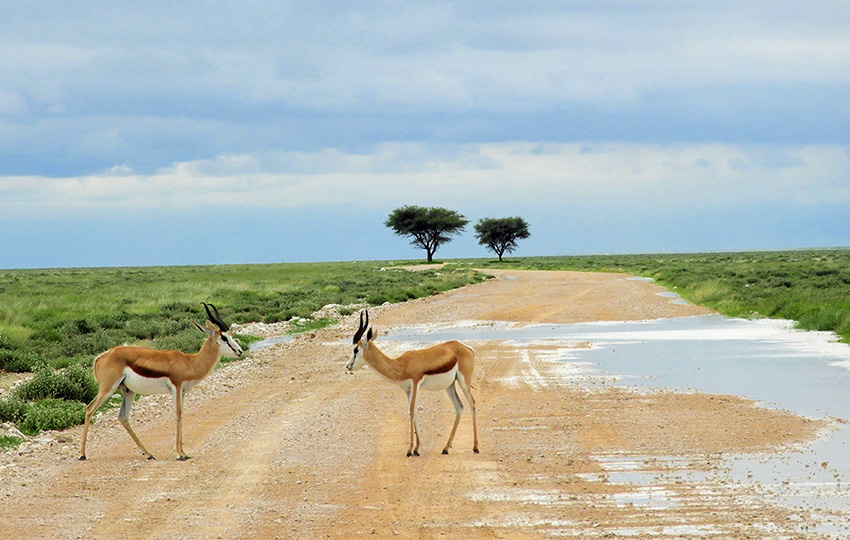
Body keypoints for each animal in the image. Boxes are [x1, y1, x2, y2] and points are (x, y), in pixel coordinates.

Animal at [80, 304, 242, 460]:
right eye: (224, 337)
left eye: (230, 335)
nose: (239, 351)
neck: (190, 362)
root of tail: (100, 357)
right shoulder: (176, 387)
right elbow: (178, 414)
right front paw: (179, 454)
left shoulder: (182, 391)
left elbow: (181, 415)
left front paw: (183, 452)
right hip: (107, 389)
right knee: (89, 409)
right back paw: (82, 455)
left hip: (128, 391)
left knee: (123, 417)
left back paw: (149, 453)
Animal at [344, 310, 476, 458]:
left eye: (356, 349)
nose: (348, 366)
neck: (401, 365)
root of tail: (467, 348)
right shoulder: (407, 390)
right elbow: (415, 412)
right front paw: (417, 449)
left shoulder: (415, 384)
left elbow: (412, 411)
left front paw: (409, 450)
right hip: (450, 386)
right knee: (459, 407)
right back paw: (445, 448)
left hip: (464, 382)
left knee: (472, 403)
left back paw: (475, 447)